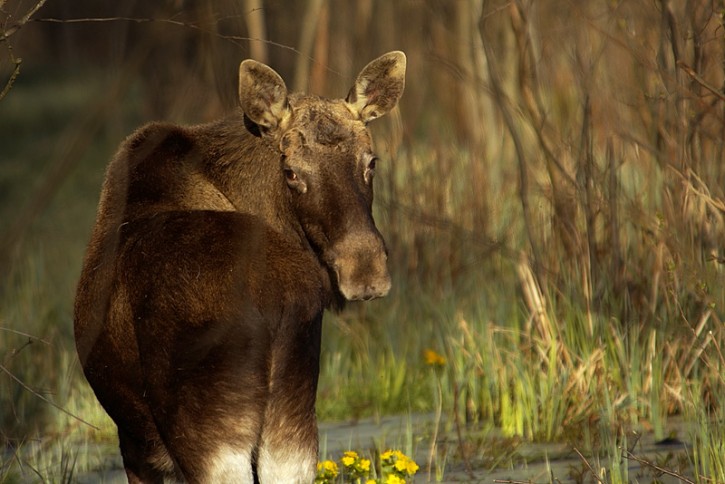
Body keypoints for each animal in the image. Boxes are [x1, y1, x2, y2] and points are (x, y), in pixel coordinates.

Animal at [75, 51, 404, 482]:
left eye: (371, 162)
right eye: (291, 171)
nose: (364, 269)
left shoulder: (137, 445)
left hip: (209, 437)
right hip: (291, 427)